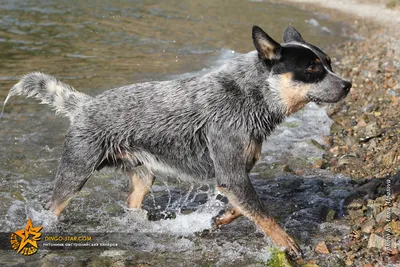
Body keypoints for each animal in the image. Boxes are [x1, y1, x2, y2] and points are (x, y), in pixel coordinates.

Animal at [3, 26, 354, 260]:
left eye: (329, 62)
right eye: (311, 68)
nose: (348, 84)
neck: (250, 95)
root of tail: (84, 105)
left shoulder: (233, 177)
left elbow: (242, 209)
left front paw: (216, 220)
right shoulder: (232, 174)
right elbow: (264, 214)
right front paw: (287, 243)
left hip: (144, 175)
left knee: (132, 203)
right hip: (76, 171)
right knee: (51, 207)